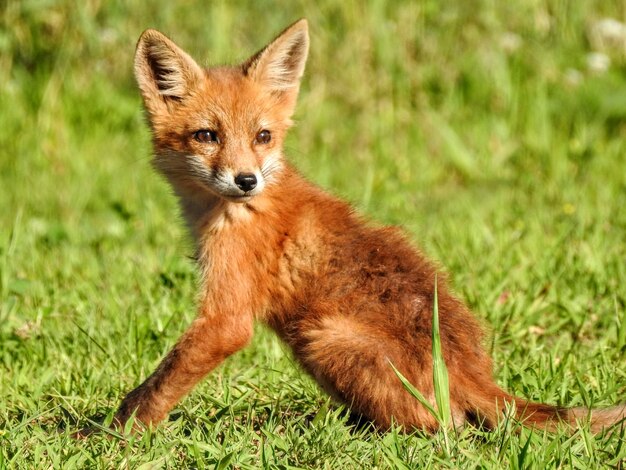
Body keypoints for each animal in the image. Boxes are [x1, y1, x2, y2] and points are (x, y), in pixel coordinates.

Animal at [102, 20, 620, 436]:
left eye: (262, 136)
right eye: (207, 136)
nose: (246, 180)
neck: (235, 211)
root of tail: (475, 371)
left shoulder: (226, 321)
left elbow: (155, 388)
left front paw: (112, 436)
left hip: (323, 336)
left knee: (447, 425)